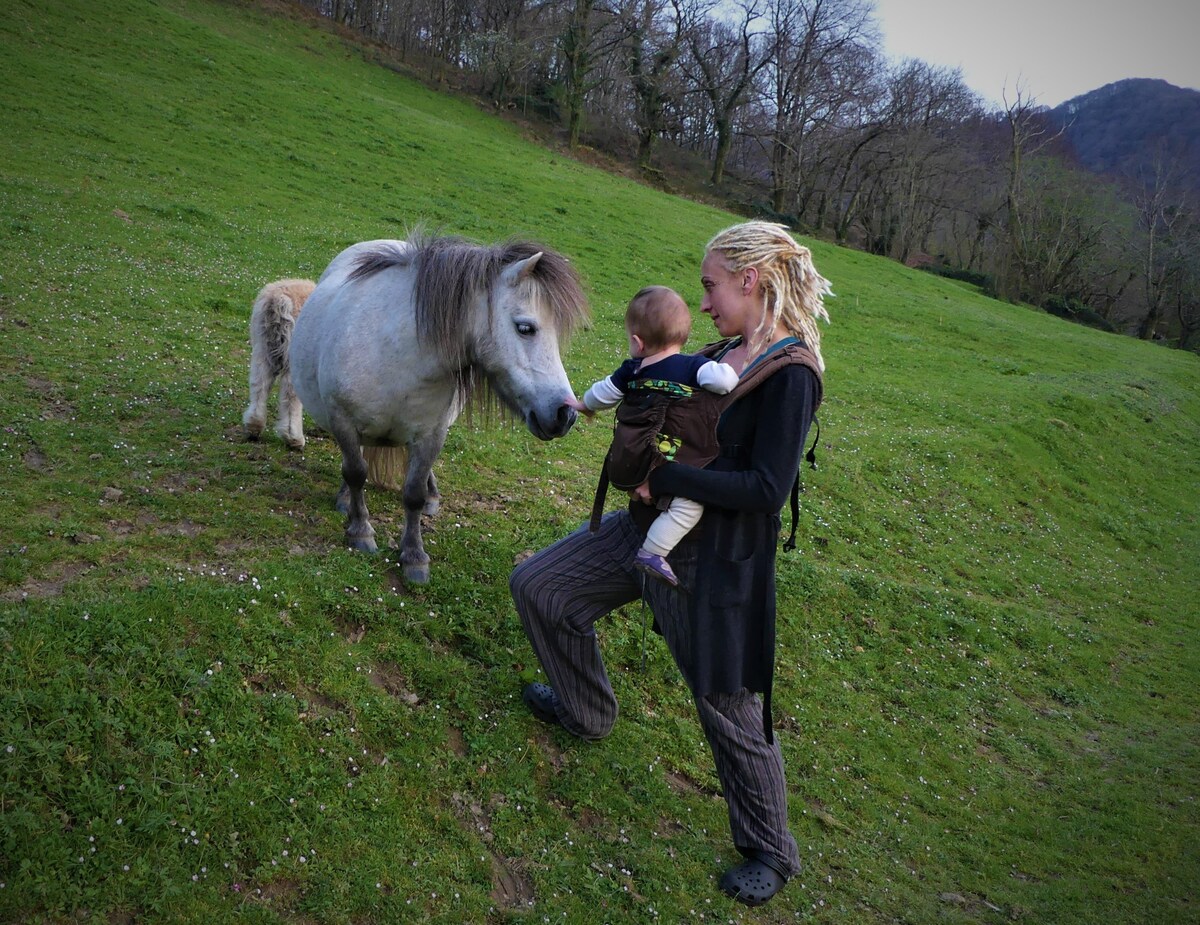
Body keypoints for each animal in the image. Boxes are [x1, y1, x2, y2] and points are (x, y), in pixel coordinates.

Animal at [242, 277, 316, 451]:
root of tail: (280, 300)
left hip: (262, 347)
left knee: (259, 384)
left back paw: (254, 426)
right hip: (293, 357)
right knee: (290, 394)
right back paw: (294, 438)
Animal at [290, 231, 590, 583]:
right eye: (525, 328)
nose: (565, 414)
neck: (396, 354)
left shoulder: (431, 434)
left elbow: (414, 493)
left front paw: (414, 556)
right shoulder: (343, 421)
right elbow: (356, 472)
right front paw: (360, 530)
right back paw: (344, 499)